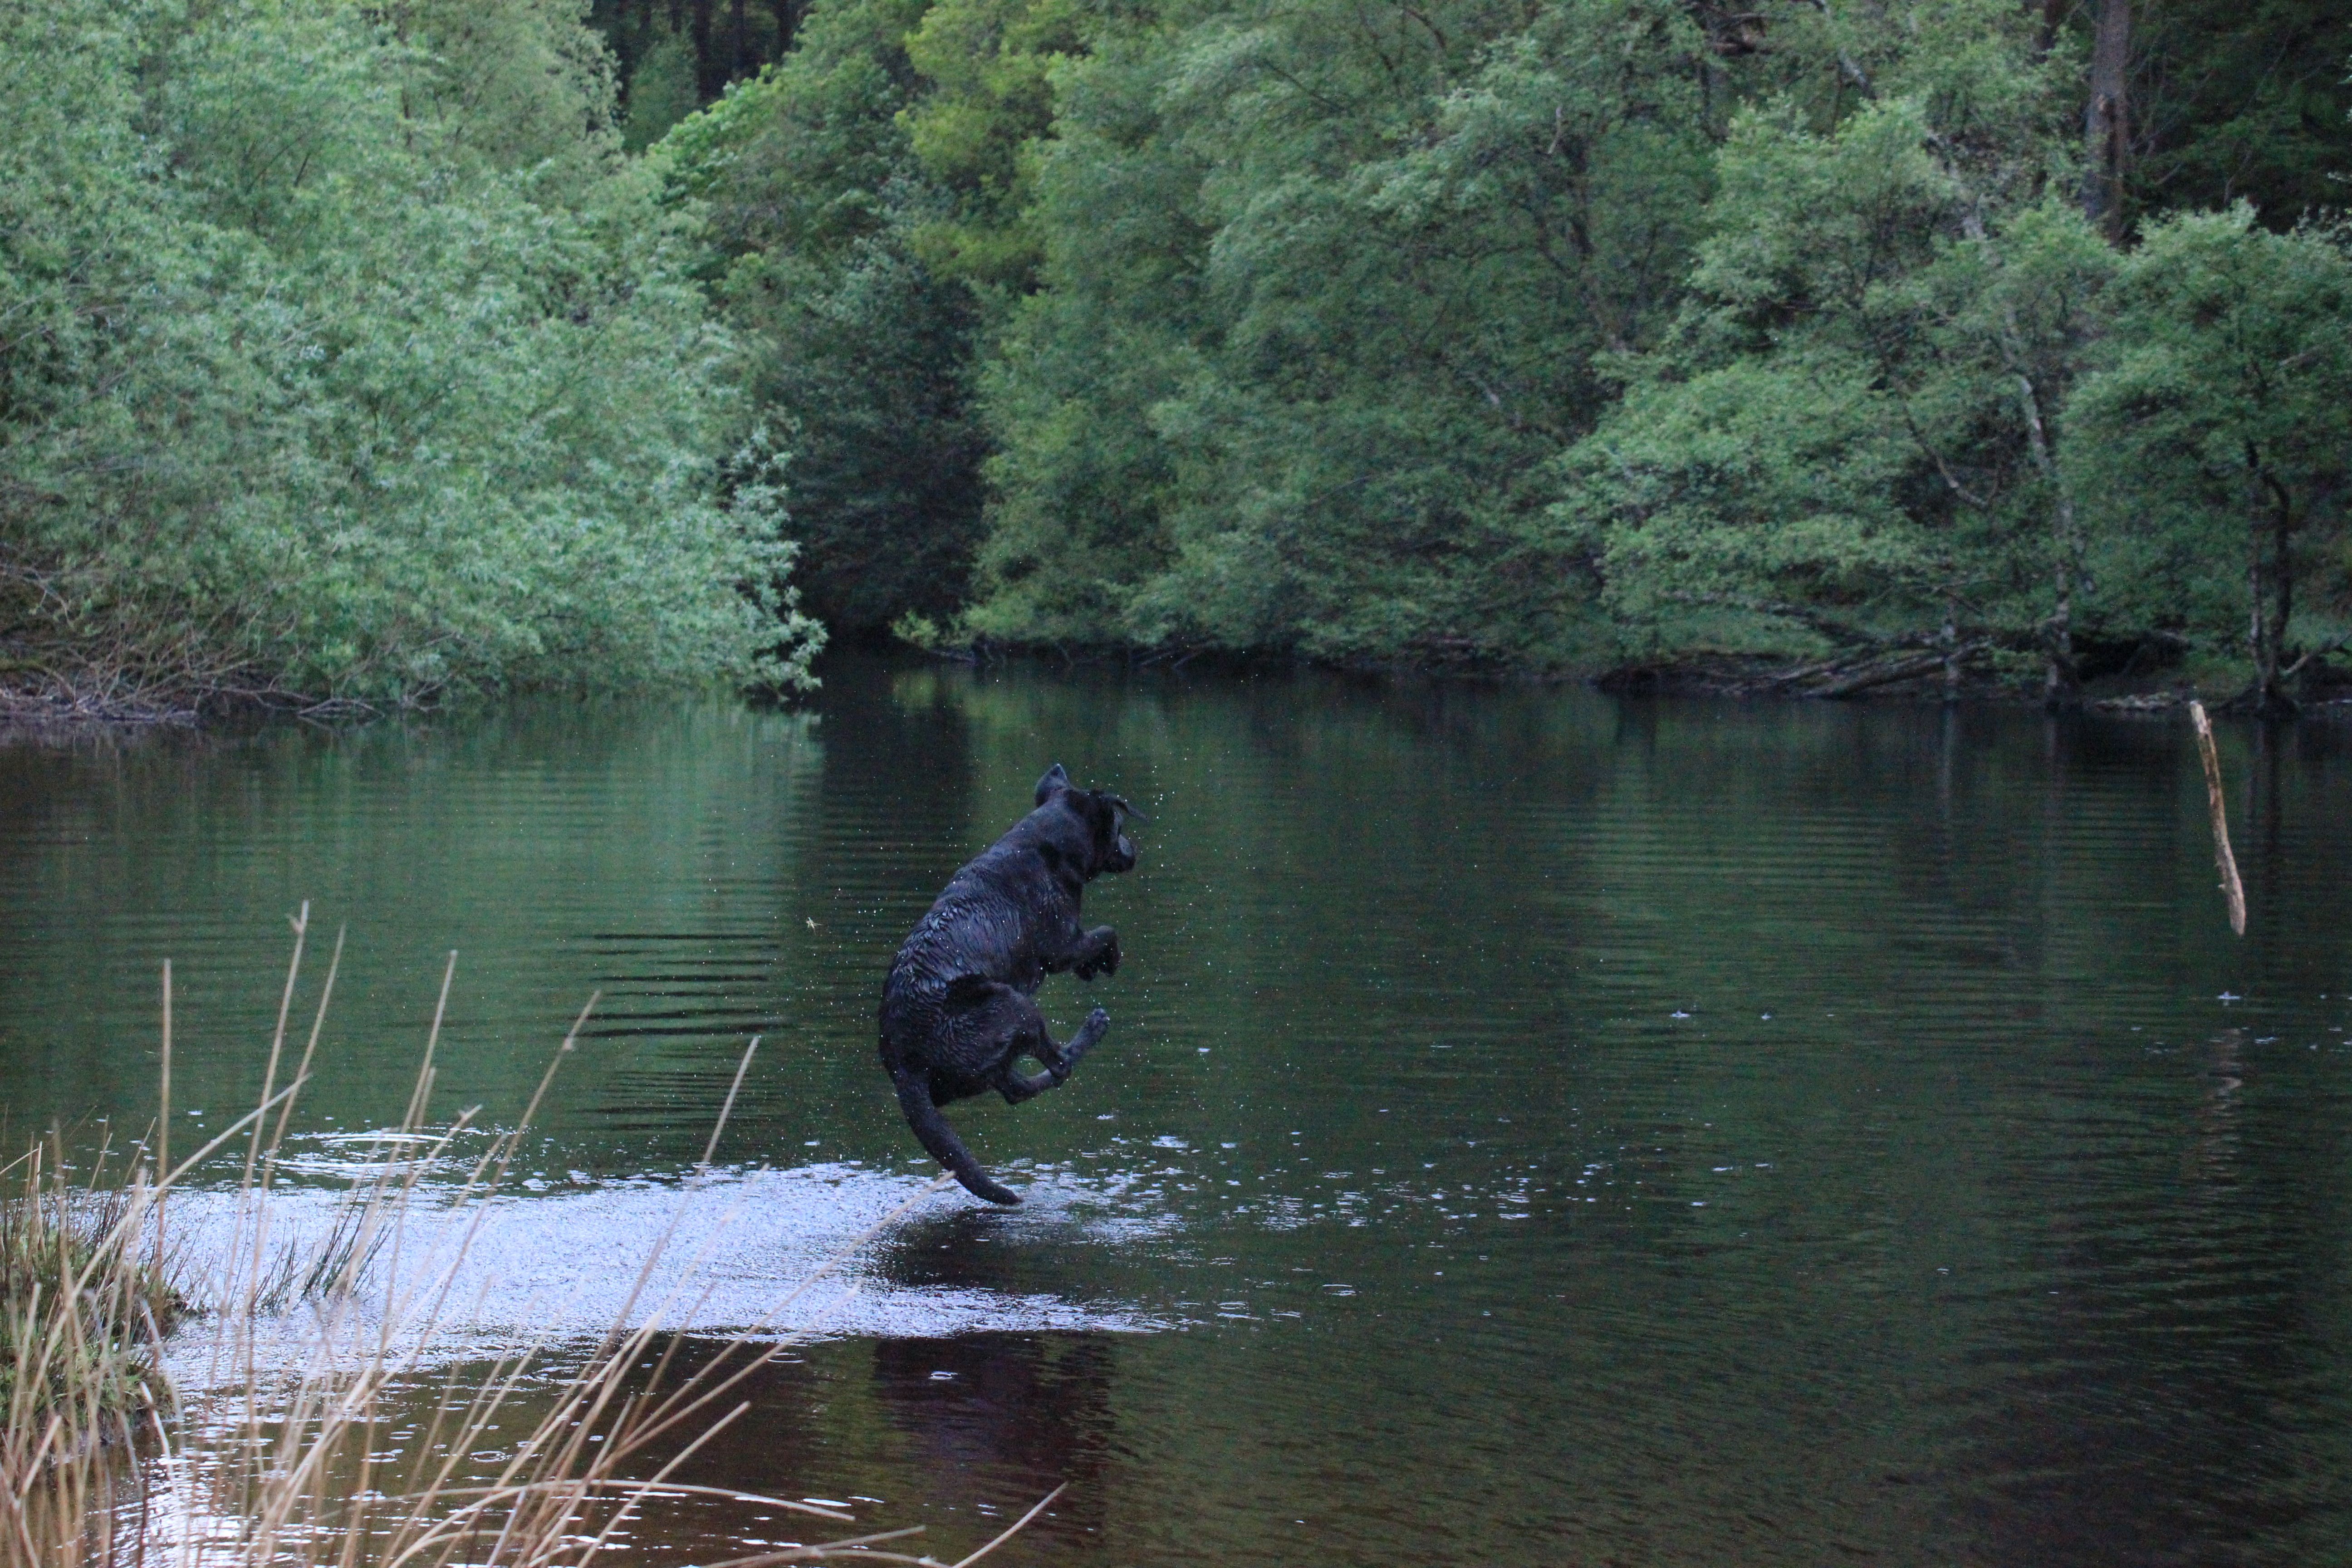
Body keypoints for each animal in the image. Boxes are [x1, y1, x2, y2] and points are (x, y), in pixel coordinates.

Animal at [884, 766, 1138, 1213]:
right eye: (1119, 828)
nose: (1134, 851)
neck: (1043, 846)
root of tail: (905, 1065)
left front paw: (1093, 967)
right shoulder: (1060, 946)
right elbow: (1107, 933)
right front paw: (1108, 961)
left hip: (988, 1056)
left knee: (1020, 1088)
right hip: (1012, 1004)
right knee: (1059, 1066)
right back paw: (1095, 1026)